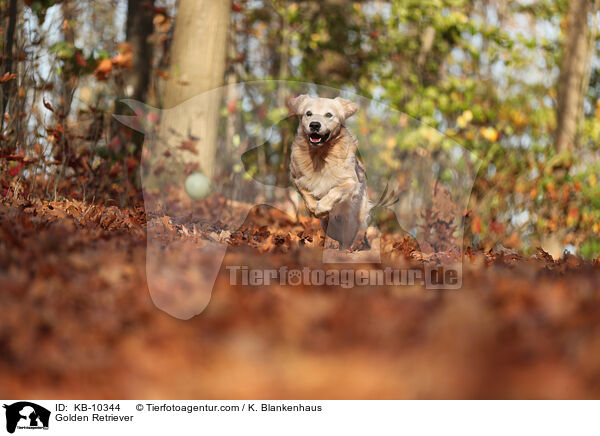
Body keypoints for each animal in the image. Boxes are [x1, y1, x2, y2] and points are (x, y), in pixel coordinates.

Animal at [288, 95, 368, 249]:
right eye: (308, 113)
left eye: (329, 115)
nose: (314, 125)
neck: (320, 154)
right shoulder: (295, 177)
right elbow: (305, 193)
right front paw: (314, 208)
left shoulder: (351, 182)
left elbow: (335, 191)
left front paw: (321, 208)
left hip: (351, 221)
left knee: (346, 239)